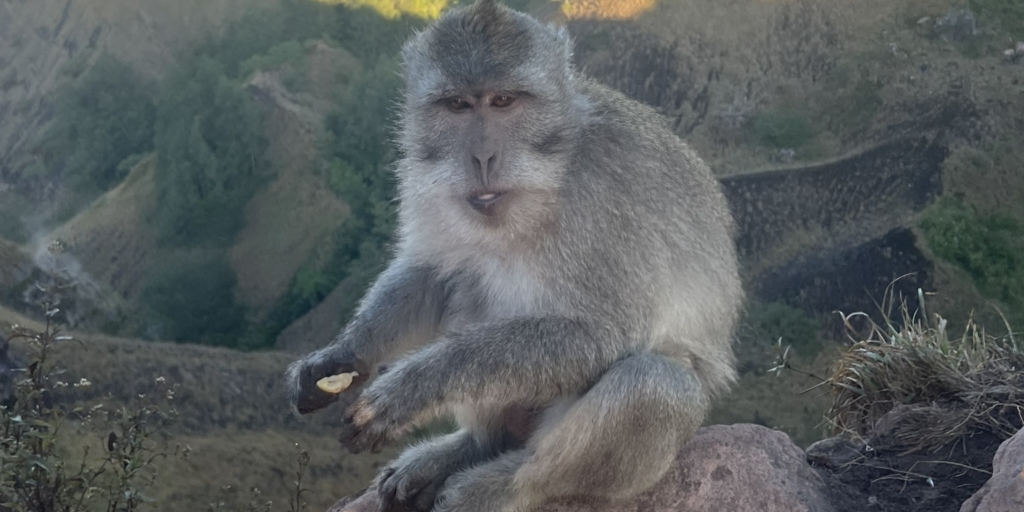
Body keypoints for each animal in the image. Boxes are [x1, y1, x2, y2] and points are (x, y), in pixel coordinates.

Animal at [285, 1, 743, 511]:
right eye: (459, 105)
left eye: (504, 102)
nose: (482, 157)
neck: (547, 175)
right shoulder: (424, 177)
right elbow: (429, 272)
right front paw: (340, 357)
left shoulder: (605, 194)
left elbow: (600, 335)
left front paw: (413, 387)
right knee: (467, 284)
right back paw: (472, 447)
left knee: (653, 383)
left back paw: (501, 484)